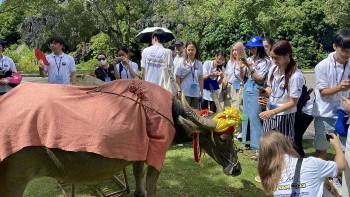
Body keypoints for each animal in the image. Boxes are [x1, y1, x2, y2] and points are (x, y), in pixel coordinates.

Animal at [0, 79, 241, 196]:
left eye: (233, 136)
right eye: (222, 139)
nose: (237, 169)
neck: (171, 114)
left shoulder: (138, 155)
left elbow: (138, 178)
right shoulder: (157, 154)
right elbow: (151, 187)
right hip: (13, 182)